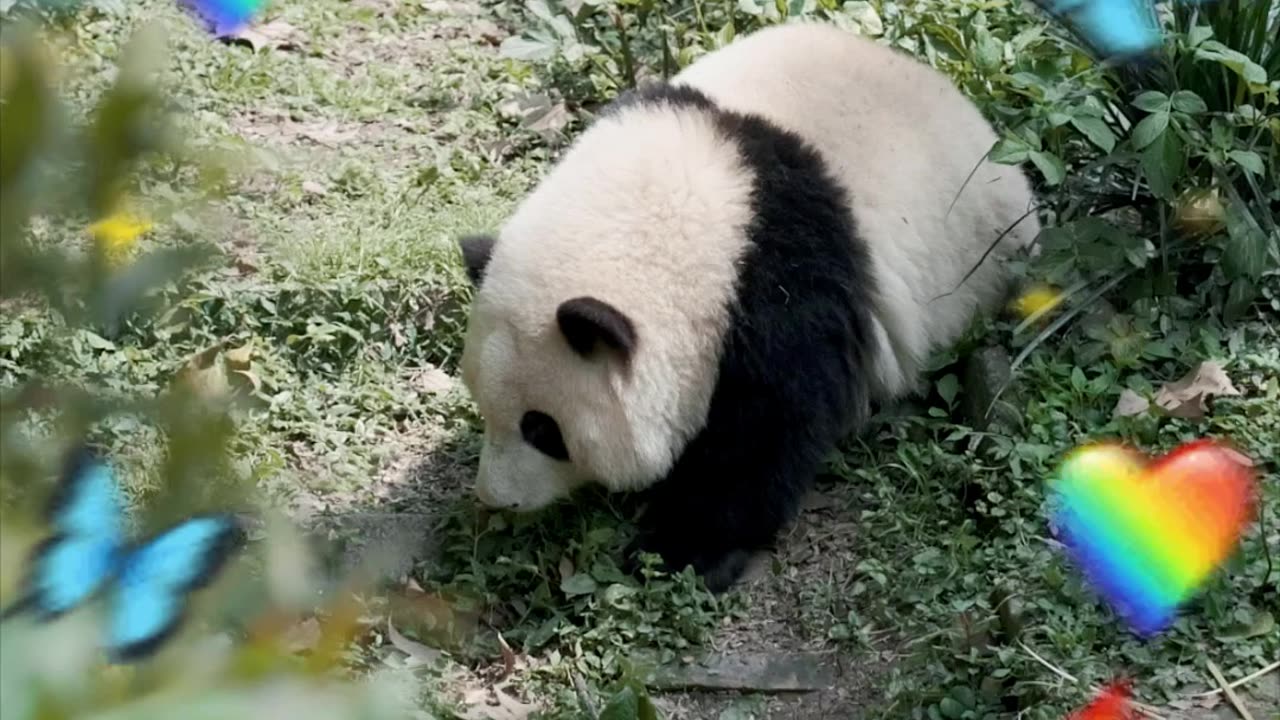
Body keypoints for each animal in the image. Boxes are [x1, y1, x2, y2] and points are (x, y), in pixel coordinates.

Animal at [455, 23, 1034, 589]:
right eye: (483, 405)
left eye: (543, 429)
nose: (495, 497)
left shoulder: (784, 291)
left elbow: (766, 432)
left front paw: (682, 549)